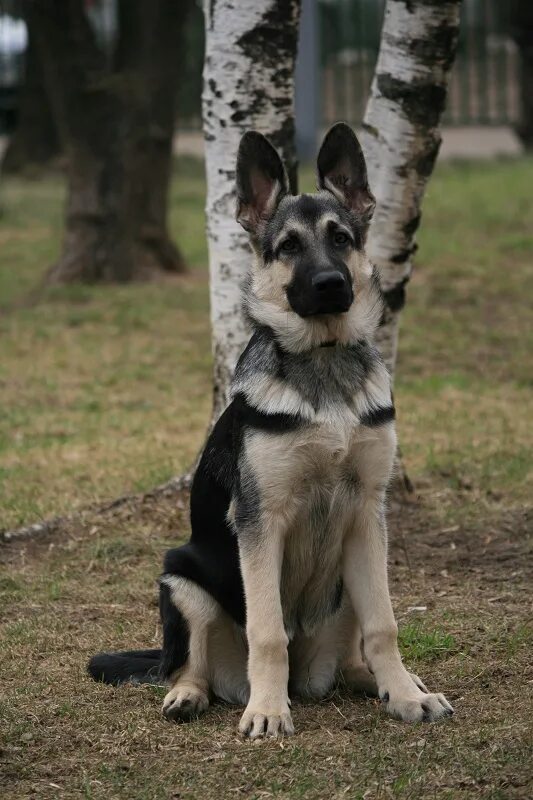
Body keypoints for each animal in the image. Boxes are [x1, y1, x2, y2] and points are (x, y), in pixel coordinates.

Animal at [88, 122, 454, 740]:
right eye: (287, 248)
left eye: (341, 239)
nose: (331, 284)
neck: (323, 360)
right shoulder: (261, 522)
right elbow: (267, 631)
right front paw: (267, 710)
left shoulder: (367, 513)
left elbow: (385, 625)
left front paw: (406, 695)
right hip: (181, 582)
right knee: (186, 667)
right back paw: (192, 695)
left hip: (348, 581)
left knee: (354, 654)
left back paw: (380, 683)